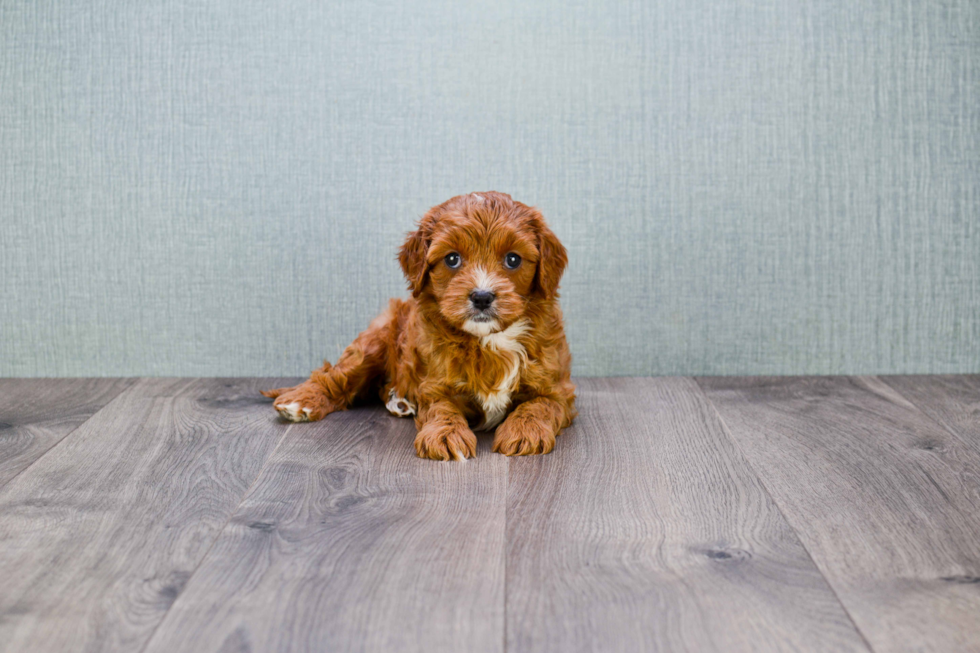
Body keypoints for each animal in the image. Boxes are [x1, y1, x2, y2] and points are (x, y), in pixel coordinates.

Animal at [264, 191, 580, 460]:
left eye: (513, 259)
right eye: (452, 259)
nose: (481, 296)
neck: (490, 339)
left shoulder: (558, 388)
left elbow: (538, 404)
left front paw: (525, 430)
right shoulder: (434, 384)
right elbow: (442, 408)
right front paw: (445, 435)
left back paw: (399, 402)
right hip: (374, 342)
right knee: (335, 376)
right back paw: (301, 402)